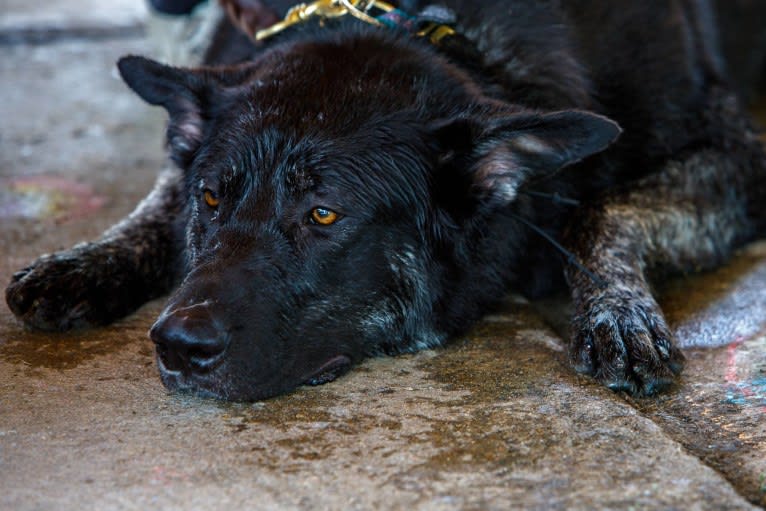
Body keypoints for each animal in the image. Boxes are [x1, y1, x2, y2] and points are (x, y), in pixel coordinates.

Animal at [7, 0, 766, 402]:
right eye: (213, 198)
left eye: (323, 215)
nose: (178, 345)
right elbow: (160, 196)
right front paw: (86, 261)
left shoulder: (737, 152)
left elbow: (599, 212)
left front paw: (618, 312)